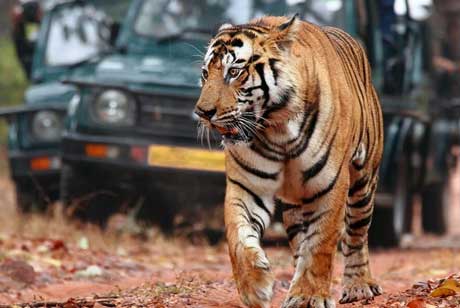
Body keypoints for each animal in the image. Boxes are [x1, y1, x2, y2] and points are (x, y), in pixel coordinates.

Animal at [194, 15, 384, 308]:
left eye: (234, 72)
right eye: (205, 74)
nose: (202, 112)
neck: (277, 129)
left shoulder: (330, 186)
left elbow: (320, 244)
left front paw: (309, 296)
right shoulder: (247, 187)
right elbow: (238, 237)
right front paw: (255, 288)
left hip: (363, 182)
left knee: (356, 235)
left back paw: (359, 286)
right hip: (296, 206)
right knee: (300, 242)